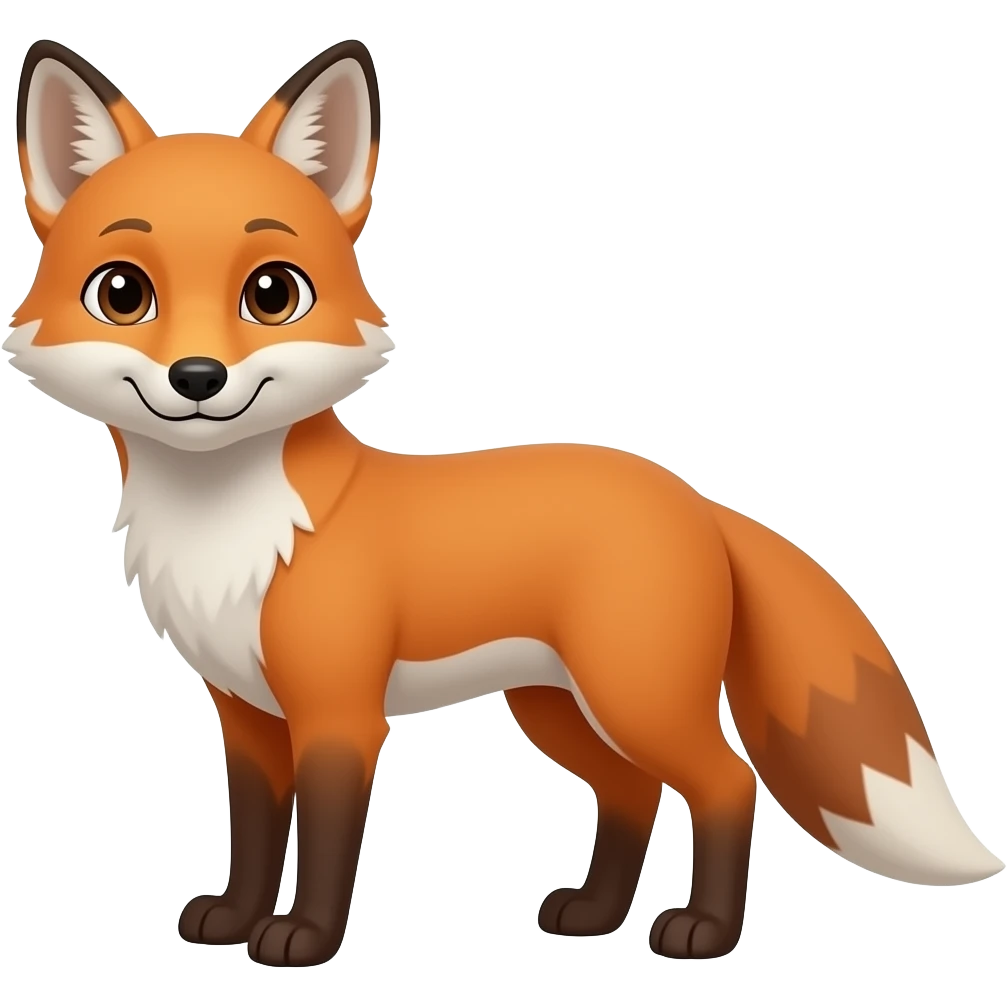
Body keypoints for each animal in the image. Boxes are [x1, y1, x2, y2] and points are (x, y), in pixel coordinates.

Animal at [8, 37, 1003, 968]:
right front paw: (234, 917)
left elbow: (324, 842)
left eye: (272, 293)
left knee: (725, 782)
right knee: (630, 792)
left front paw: (305, 937)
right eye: (123, 292)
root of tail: (689, 493)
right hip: (557, 706)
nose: (198, 378)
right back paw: (594, 914)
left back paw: (705, 931)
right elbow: (254, 834)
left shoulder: (340, 712)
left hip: (632, 695)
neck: (230, 529)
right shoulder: (246, 714)